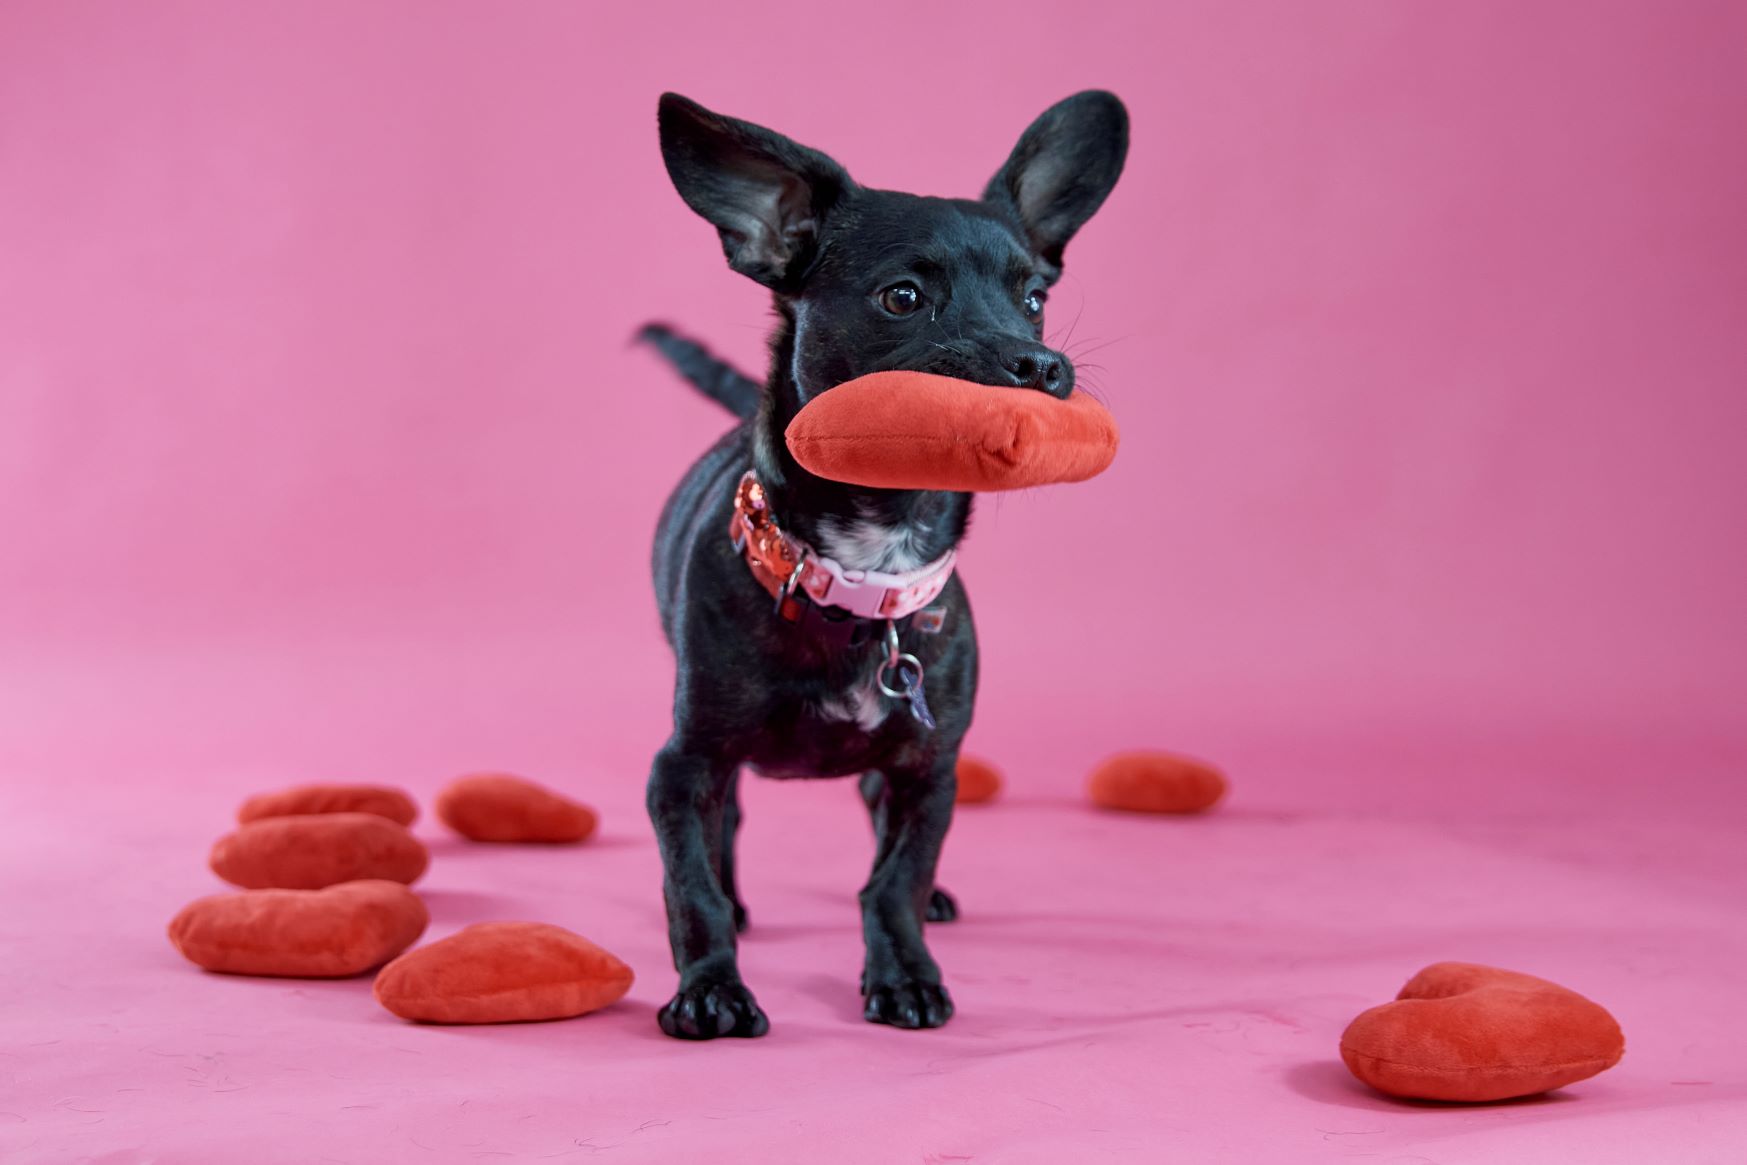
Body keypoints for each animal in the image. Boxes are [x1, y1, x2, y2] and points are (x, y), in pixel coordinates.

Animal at [638, 90, 1127, 1039]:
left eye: (1034, 299)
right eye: (903, 297)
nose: (1040, 362)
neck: (862, 572)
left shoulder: (929, 772)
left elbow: (893, 878)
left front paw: (902, 967)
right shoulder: (681, 767)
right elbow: (693, 884)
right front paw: (711, 984)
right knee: (729, 829)